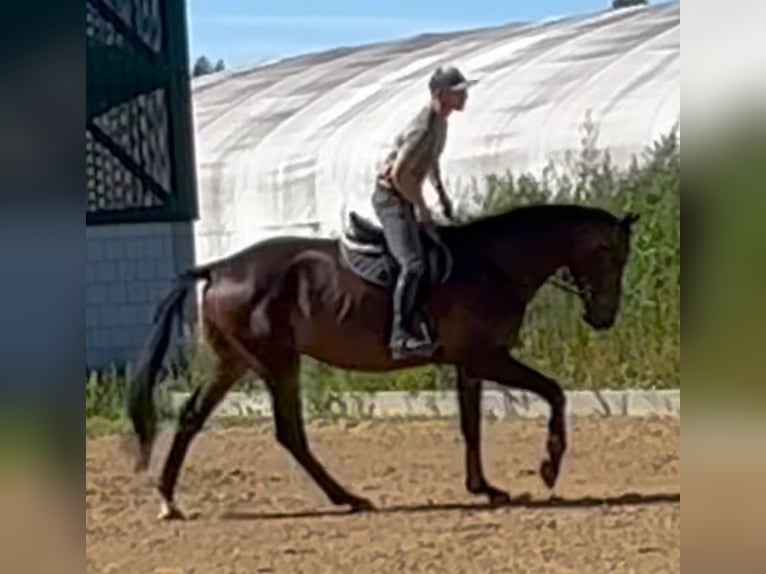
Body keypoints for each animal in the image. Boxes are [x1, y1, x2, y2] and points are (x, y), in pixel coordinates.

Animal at [126, 202, 639, 520]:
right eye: (610, 254)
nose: (604, 317)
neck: (494, 263)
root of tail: (217, 268)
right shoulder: (486, 357)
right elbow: (554, 392)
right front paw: (550, 465)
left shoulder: (468, 364)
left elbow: (472, 425)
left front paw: (485, 488)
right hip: (276, 361)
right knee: (289, 432)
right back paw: (347, 497)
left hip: (235, 362)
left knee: (192, 418)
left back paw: (169, 501)